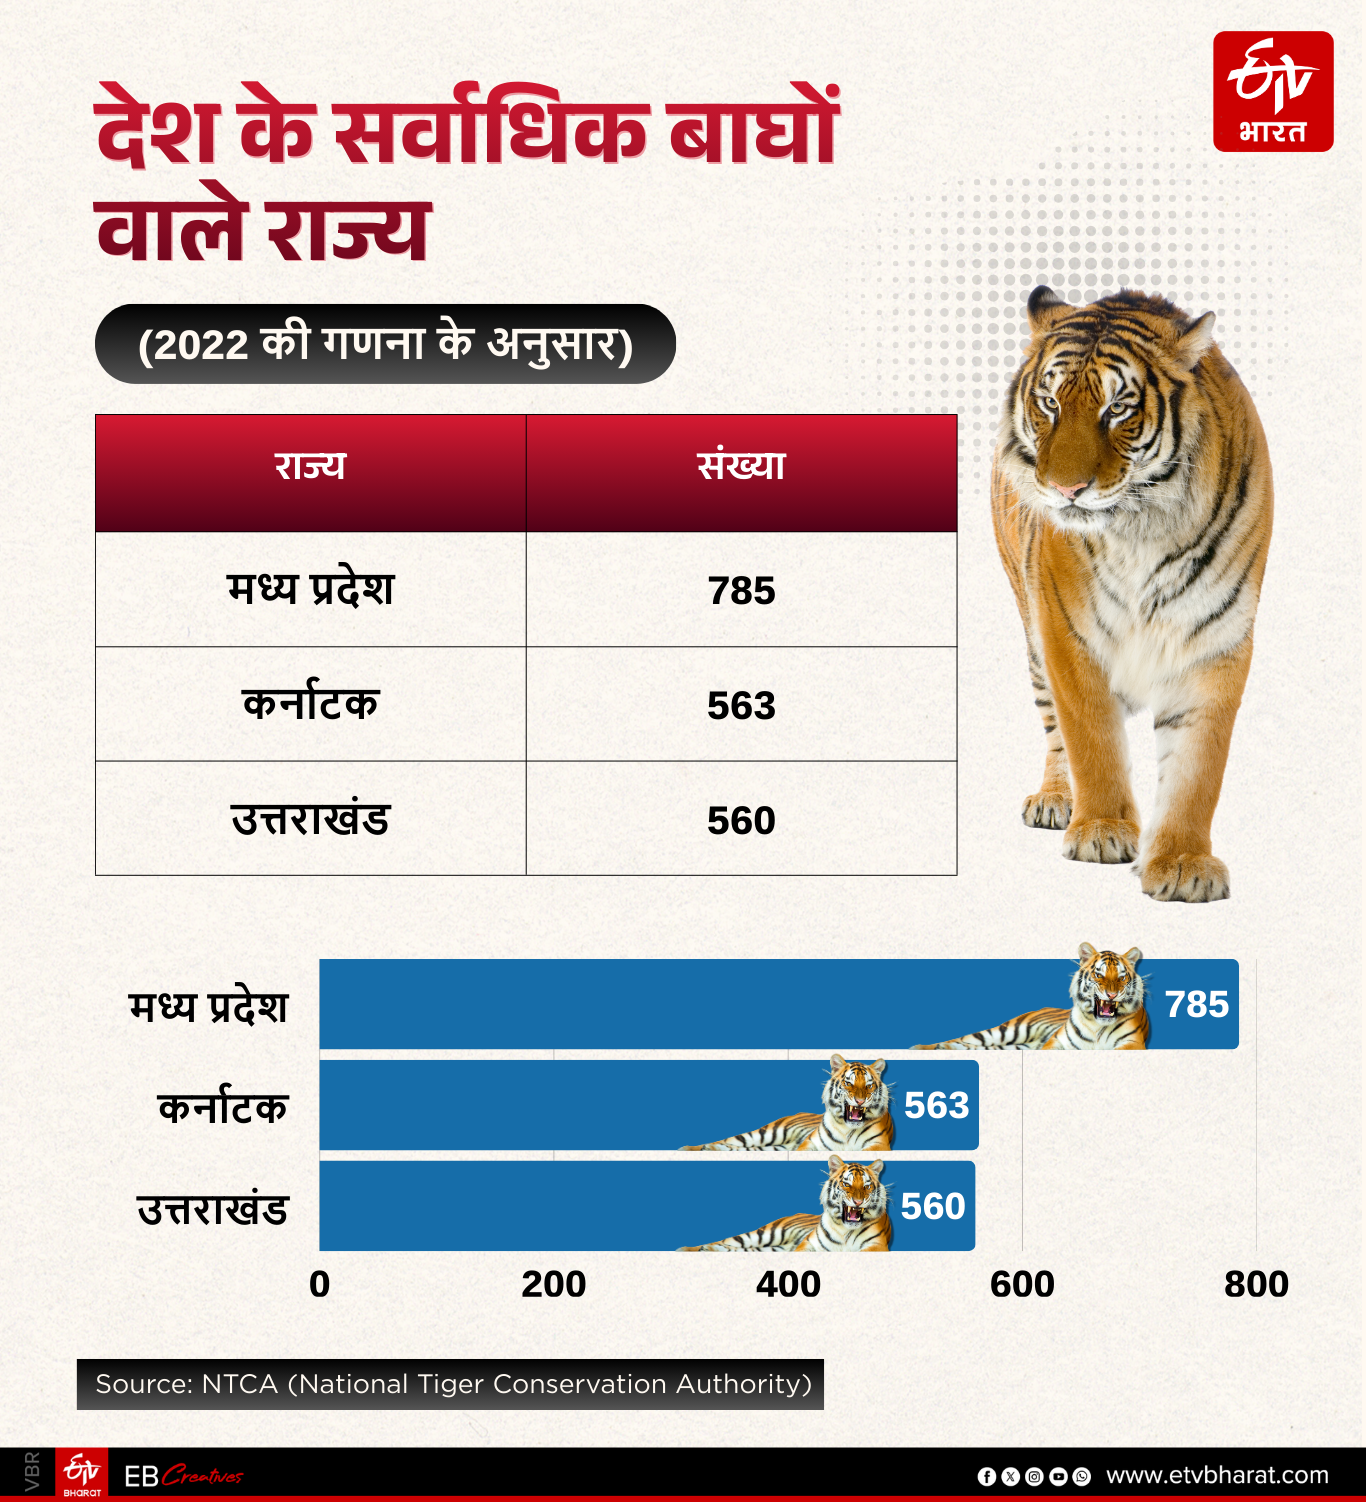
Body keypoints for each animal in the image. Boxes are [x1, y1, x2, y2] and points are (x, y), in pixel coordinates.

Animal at [677, 1156, 891, 1251]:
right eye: (847, 1184)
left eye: (867, 1186)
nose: (858, 1201)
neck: (846, 1231)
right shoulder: (808, 1244)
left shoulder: (876, 1246)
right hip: (765, 1234)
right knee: (724, 1242)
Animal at [679, 1054, 892, 1152]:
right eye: (849, 1083)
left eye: (869, 1086)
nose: (860, 1100)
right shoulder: (810, 1144)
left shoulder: (878, 1146)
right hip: (767, 1133)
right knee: (726, 1141)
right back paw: (692, 1149)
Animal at [914, 943, 1149, 1051]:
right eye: (1099, 975)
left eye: (1121, 977)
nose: (1112, 994)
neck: (1097, 1027)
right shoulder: (1056, 1042)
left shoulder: (1133, 1044)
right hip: (1009, 1030)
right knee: (962, 1039)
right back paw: (923, 1048)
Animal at [992, 286, 1273, 902]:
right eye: (1049, 402)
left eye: (1117, 409)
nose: (1065, 489)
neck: (1142, 528)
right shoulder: (1066, 632)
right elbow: (1091, 737)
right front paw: (1101, 830)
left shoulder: (1214, 640)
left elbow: (1197, 768)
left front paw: (1184, 862)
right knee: (1054, 728)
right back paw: (1055, 800)